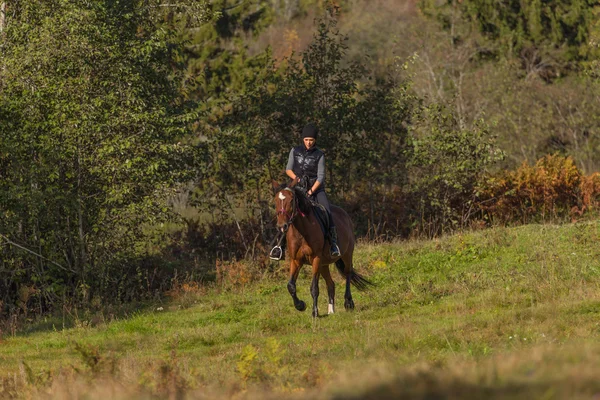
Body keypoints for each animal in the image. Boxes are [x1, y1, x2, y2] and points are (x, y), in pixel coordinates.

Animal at [272, 180, 370, 318]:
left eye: (291, 200)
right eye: (275, 201)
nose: (282, 226)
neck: (302, 232)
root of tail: (345, 215)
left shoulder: (316, 259)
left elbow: (314, 287)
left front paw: (314, 312)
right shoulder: (296, 261)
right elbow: (290, 285)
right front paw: (300, 305)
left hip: (346, 254)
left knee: (348, 273)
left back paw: (348, 303)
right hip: (324, 264)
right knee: (331, 284)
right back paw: (331, 310)